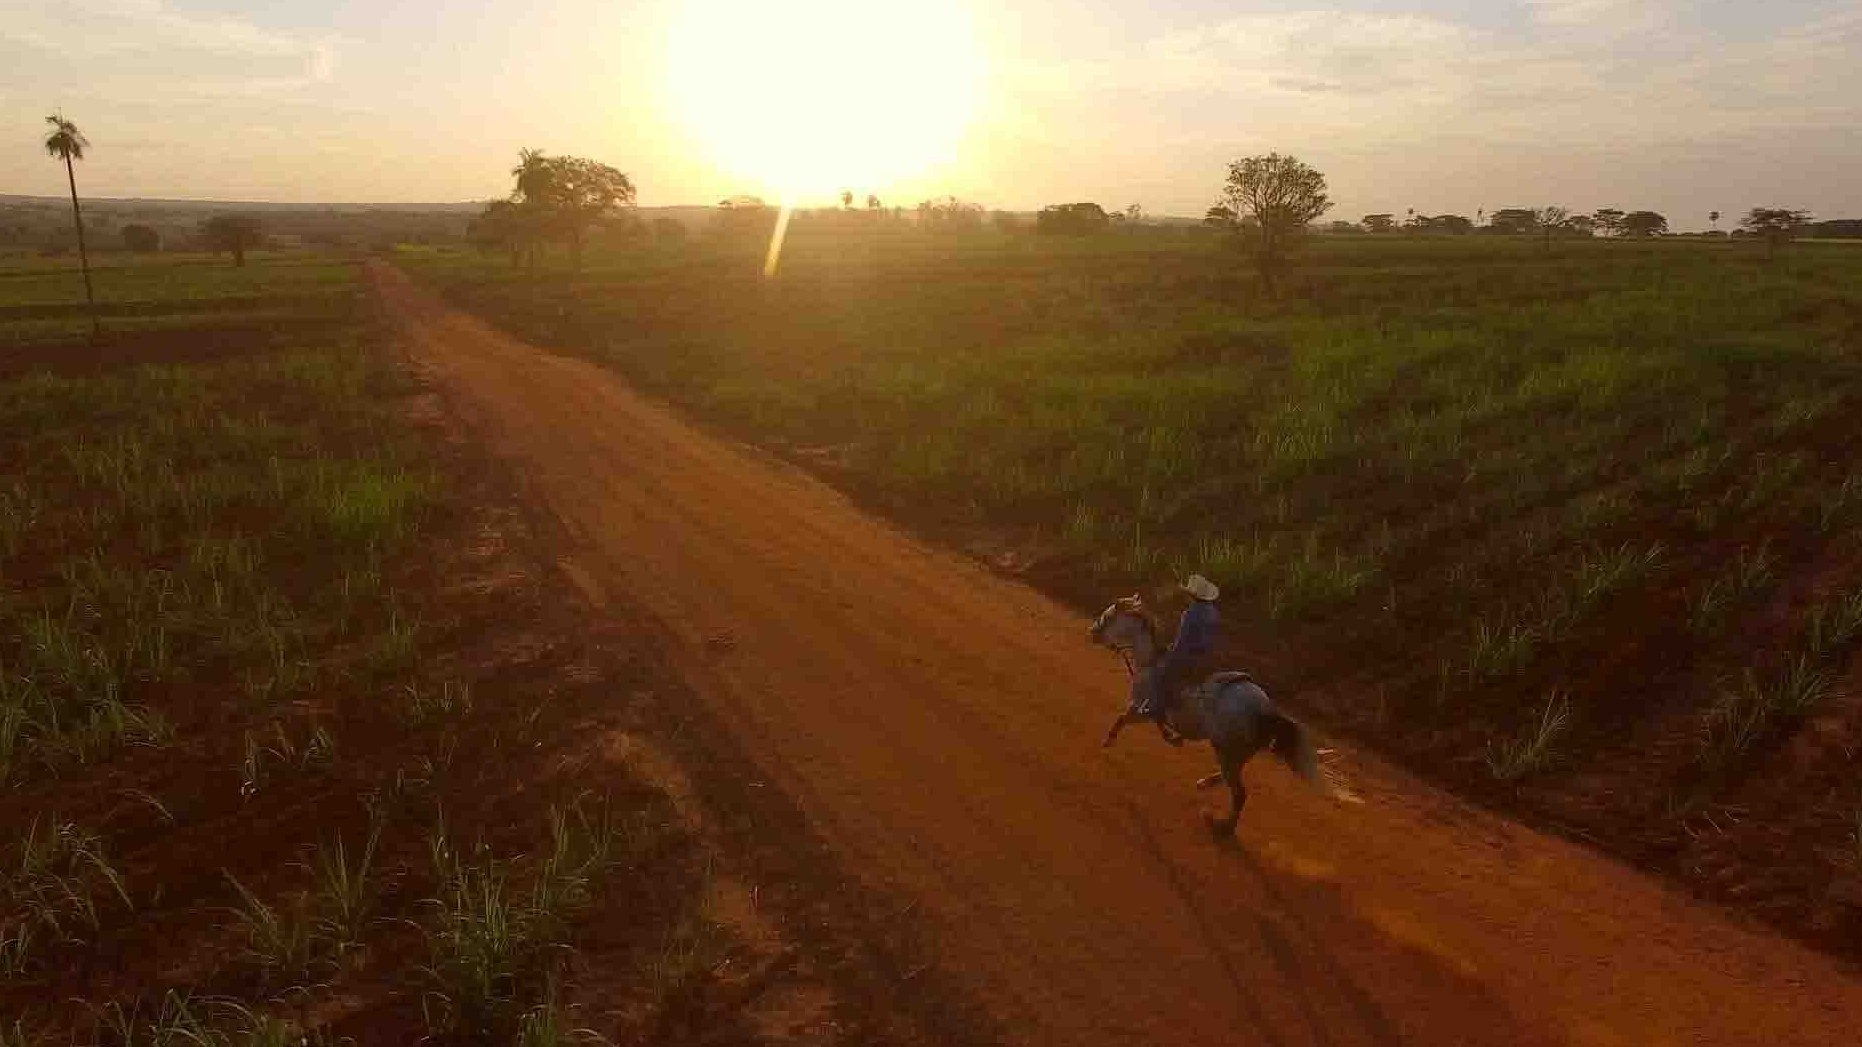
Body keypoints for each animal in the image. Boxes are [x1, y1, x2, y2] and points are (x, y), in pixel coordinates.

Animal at [1087, 596, 1348, 830]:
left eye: (1108, 617)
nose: (1092, 633)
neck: (1150, 663)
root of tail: (1266, 710)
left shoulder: (1142, 709)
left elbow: (1122, 720)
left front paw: (1108, 741)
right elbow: (1145, 723)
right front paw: (1172, 739)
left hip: (1228, 751)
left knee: (1240, 793)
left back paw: (1222, 825)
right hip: (1236, 753)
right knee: (1229, 779)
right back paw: (1205, 785)